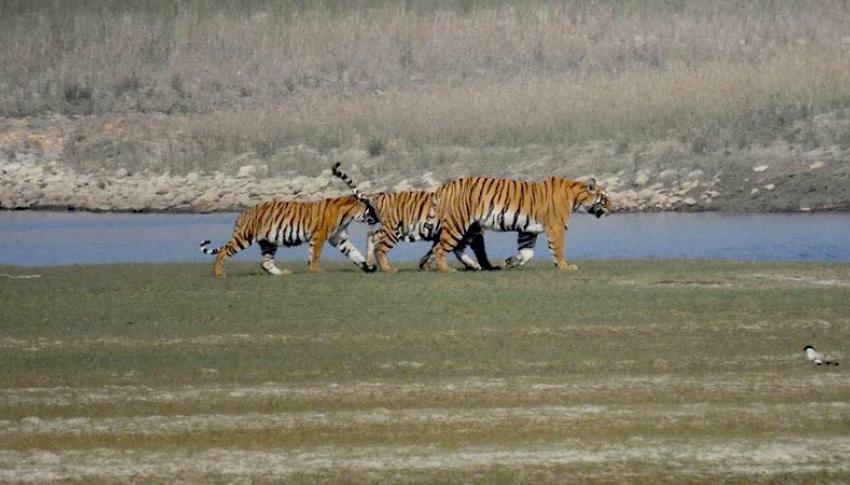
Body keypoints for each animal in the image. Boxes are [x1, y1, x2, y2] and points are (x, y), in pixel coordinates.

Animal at [200, 163, 380, 278]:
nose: (378, 218)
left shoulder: (339, 238)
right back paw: (219, 273)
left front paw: (367, 266)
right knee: (223, 252)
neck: (347, 215)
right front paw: (316, 270)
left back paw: (282, 274)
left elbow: (353, 252)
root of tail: (243, 213)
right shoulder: (319, 236)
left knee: (265, 263)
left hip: (268, 242)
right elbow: (315, 254)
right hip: (245, 237)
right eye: (372, 208)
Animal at [429, 175, 611, 273]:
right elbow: (558, 249)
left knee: (458, 249)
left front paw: (512, 261)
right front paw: (564, 266)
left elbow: (527, 252)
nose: (613, 207)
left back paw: (474, 265)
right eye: (605, 197)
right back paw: (447, 269)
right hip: (457, 223)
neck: (575, 197)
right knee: (440, 249)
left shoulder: (529, 231)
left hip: (470, 228)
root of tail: (444, 186)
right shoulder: (557, 228)